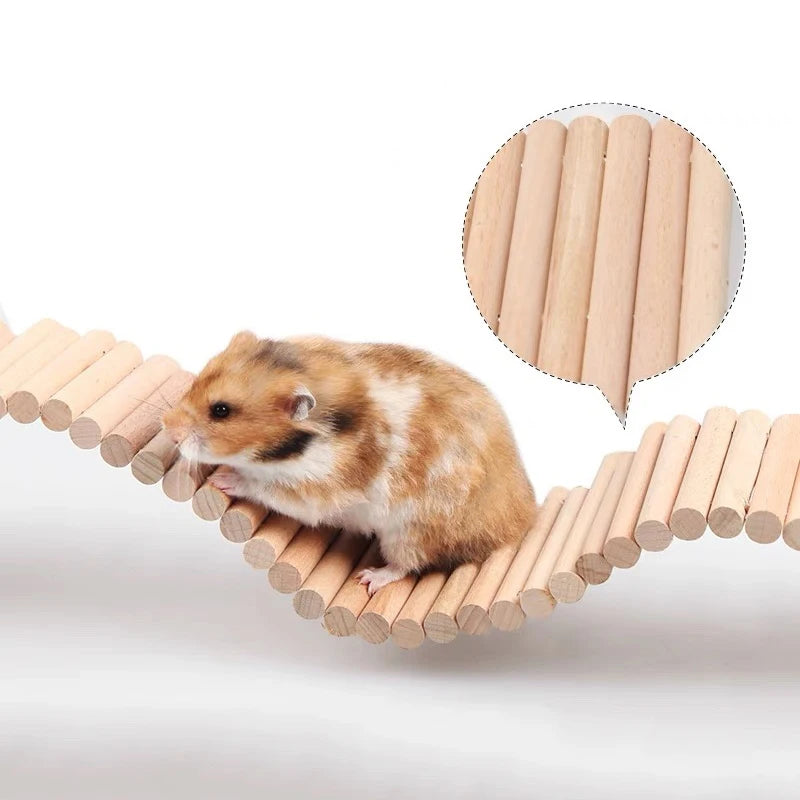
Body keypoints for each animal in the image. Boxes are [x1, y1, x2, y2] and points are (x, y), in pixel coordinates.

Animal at [162, 331, 537, 594]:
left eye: (221, 411)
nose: (167, 427)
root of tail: (523, 522)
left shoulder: (317, 488)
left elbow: (265, 486)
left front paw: (224, 478)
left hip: (411, 533)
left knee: (406, 565)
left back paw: (369, 579)